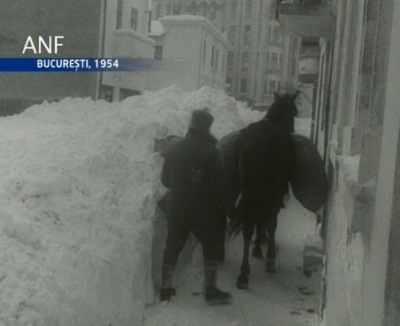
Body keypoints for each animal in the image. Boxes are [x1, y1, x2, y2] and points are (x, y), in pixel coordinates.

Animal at [220, 91, 298, 288]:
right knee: (266, 220)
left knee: (245, 224)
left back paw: (241, 271)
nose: (293, 129)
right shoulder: (273, 194)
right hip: (268, 191)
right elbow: (268, 221)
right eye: (294, 111)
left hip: (246, 189)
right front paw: (264, 247)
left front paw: (257, 245)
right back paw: (263, 262)